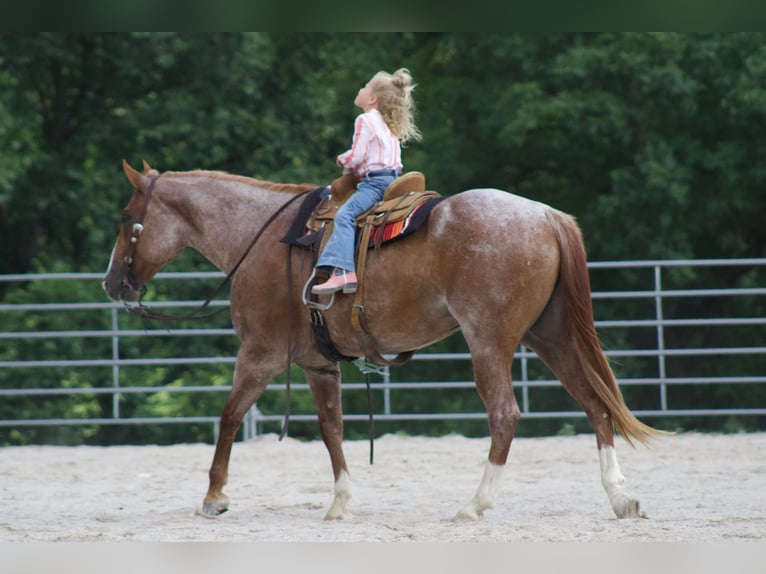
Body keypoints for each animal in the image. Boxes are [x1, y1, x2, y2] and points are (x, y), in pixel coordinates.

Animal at [103, 160, 666, 521]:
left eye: (127, 219)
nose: (112, 283)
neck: (260, 237)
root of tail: (545, 215)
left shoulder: (260, 353)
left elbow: (229, 416)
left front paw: (214, 497)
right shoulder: (317, 363)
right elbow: (331, 428)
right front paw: (340, 502)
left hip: (489, 342)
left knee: (505, 415)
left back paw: (474, 505)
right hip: (550, 337)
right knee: (595, 405)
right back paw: (621, 498)